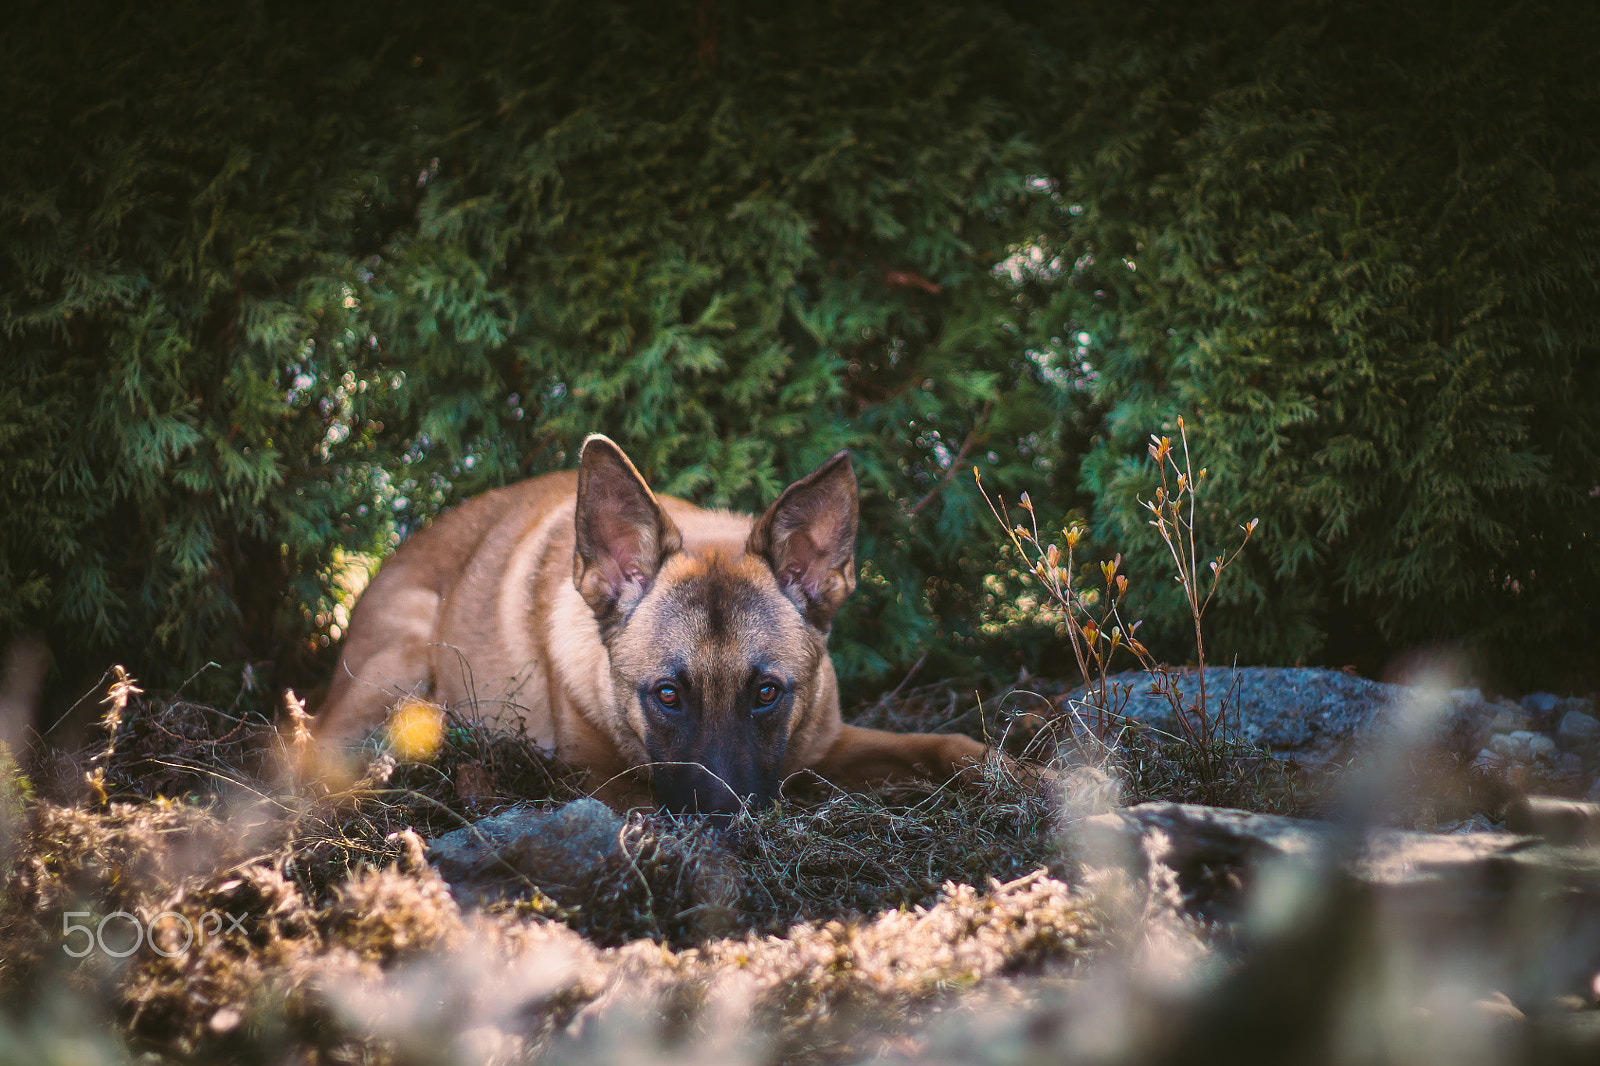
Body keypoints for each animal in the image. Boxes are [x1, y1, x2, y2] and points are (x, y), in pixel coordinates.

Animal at [312, 435, 998, 813]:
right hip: (400, 664)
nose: (724, 819)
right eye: (667, 695)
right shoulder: (601, 782)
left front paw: (1007, 772)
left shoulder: (827, 743)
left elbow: (944, 745)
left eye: (767, 693)